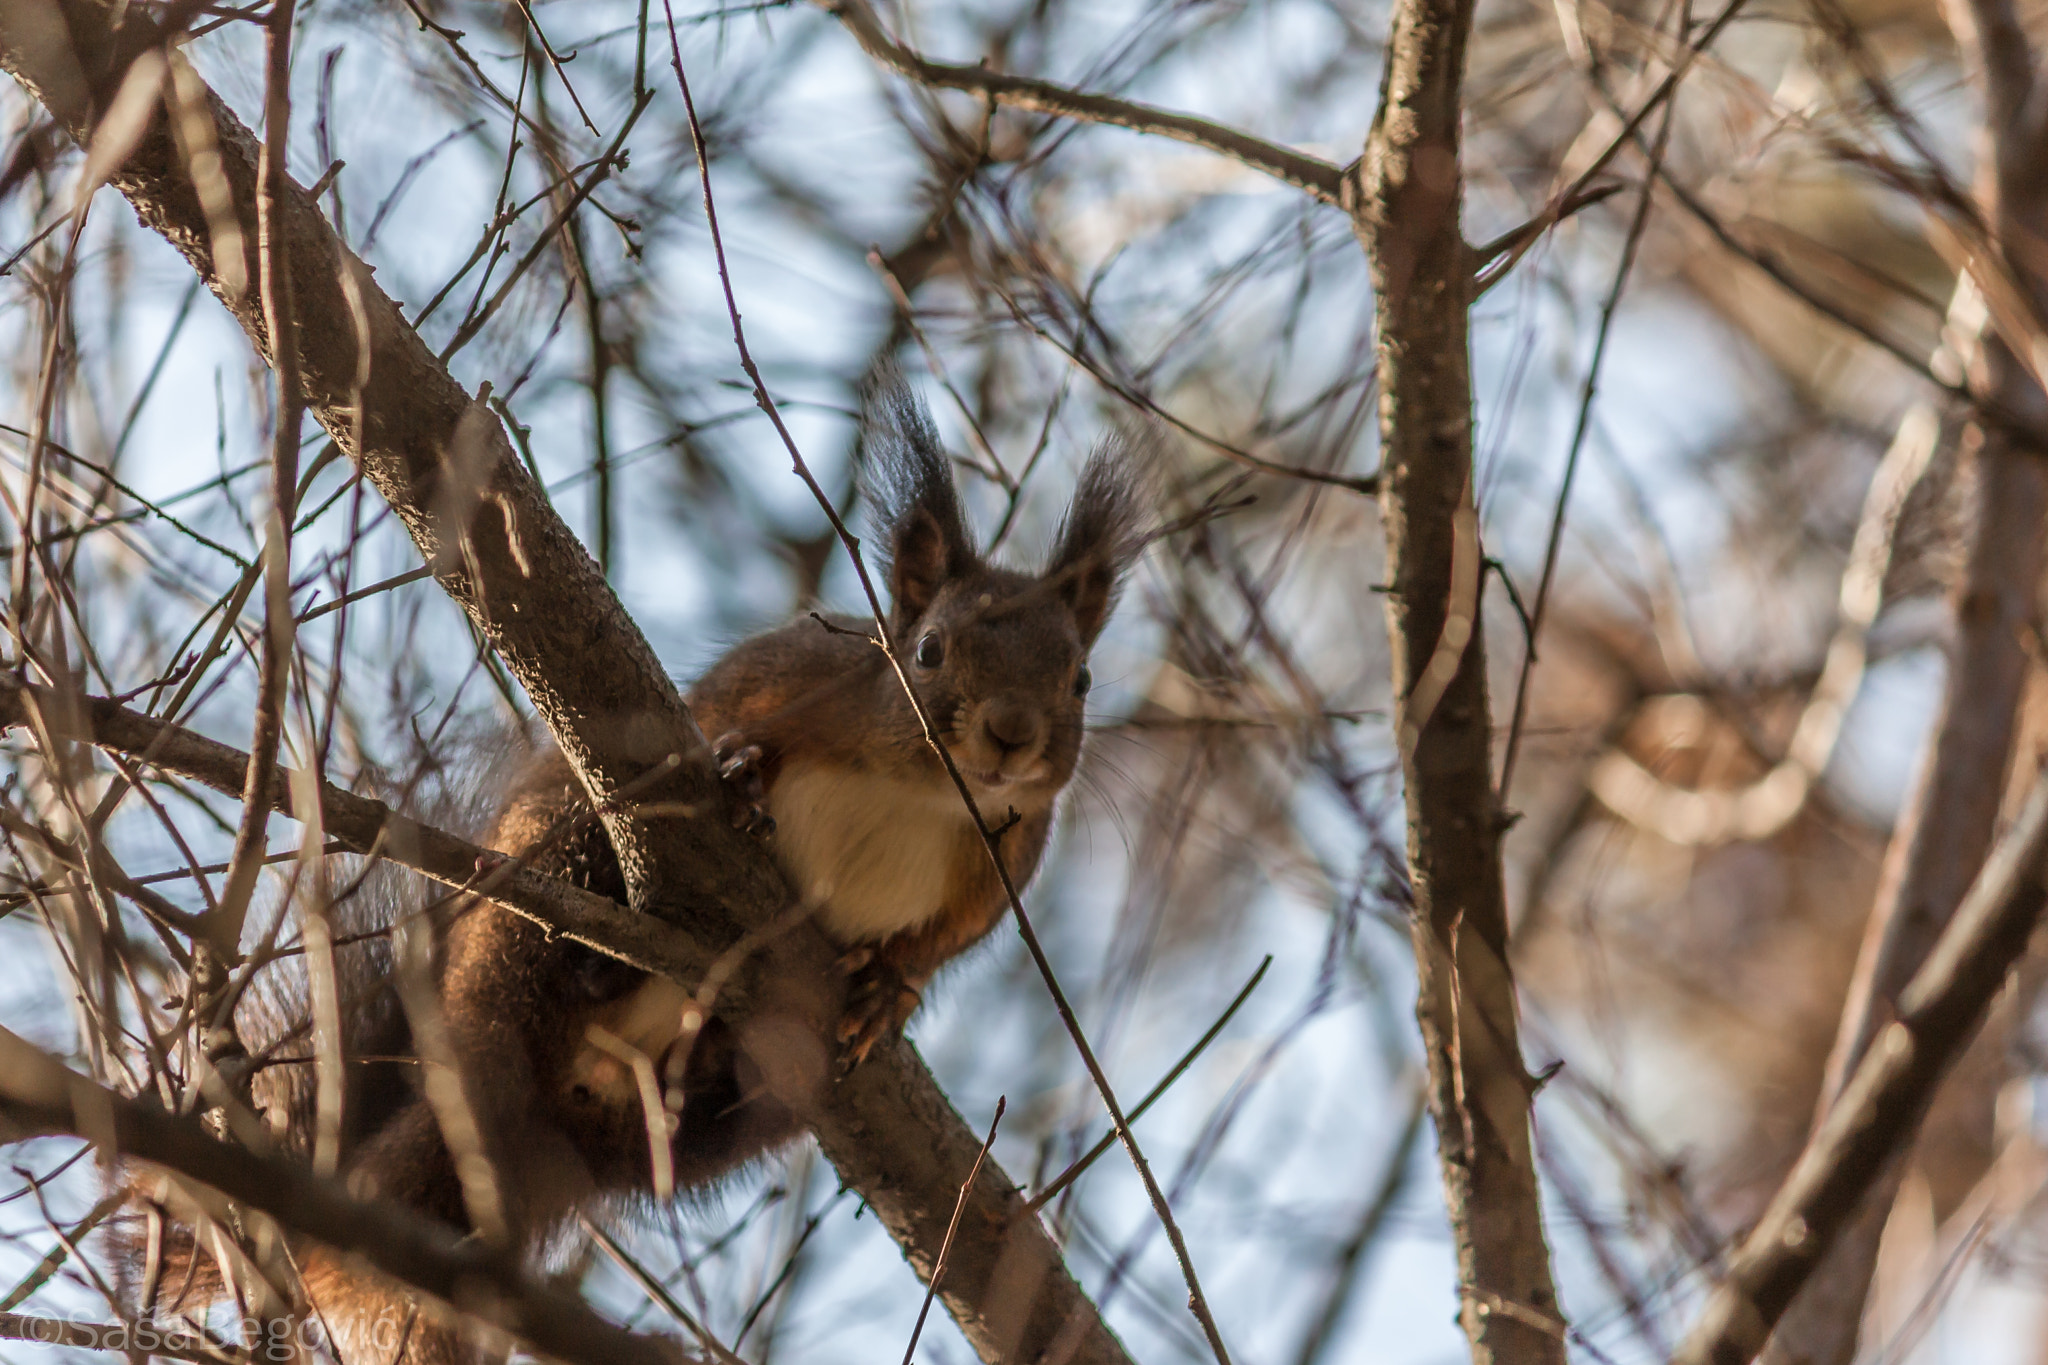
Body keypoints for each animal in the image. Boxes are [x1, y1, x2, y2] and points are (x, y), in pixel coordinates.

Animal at [131, 384, 1142, 1364]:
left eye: (1082, 678)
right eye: (928, 650)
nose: (1011, 733)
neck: (923, 791)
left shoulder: (1003, 861)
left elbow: (944, 941)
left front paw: (890, 991)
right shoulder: (789, 678)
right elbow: (721, 725)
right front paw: (741, 775)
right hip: (545, 871)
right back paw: (593, 954)